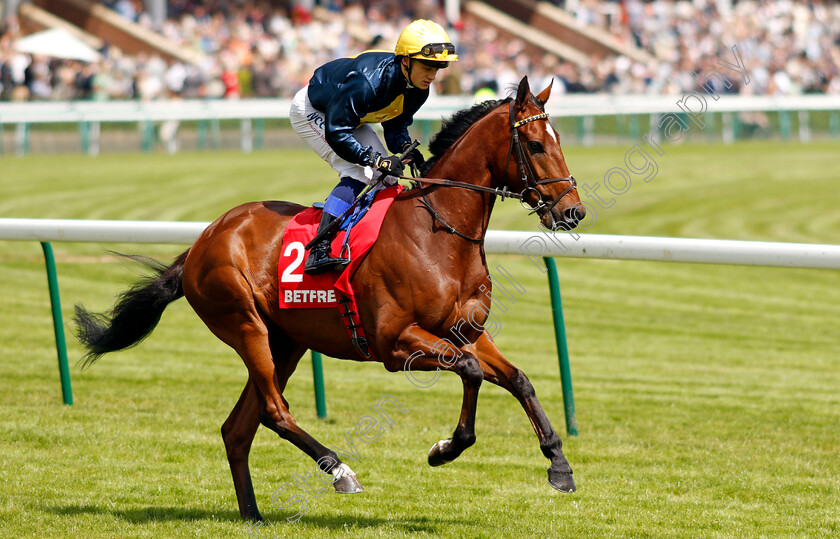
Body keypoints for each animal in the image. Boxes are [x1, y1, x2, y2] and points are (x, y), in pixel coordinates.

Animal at [77, 78, 584, 520]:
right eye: (535, 145)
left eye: (558, 140)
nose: (573, 211)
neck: (438, 232)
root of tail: (203, 240)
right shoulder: (395, 344)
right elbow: (471, 370)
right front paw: (445, 449)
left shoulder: (467, 331)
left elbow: (518, 379)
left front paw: (559, 465)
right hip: (245, 324)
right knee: (274, 412)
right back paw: (340, 470)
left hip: (286, 341)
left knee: (238, 428)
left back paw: (252, 514)